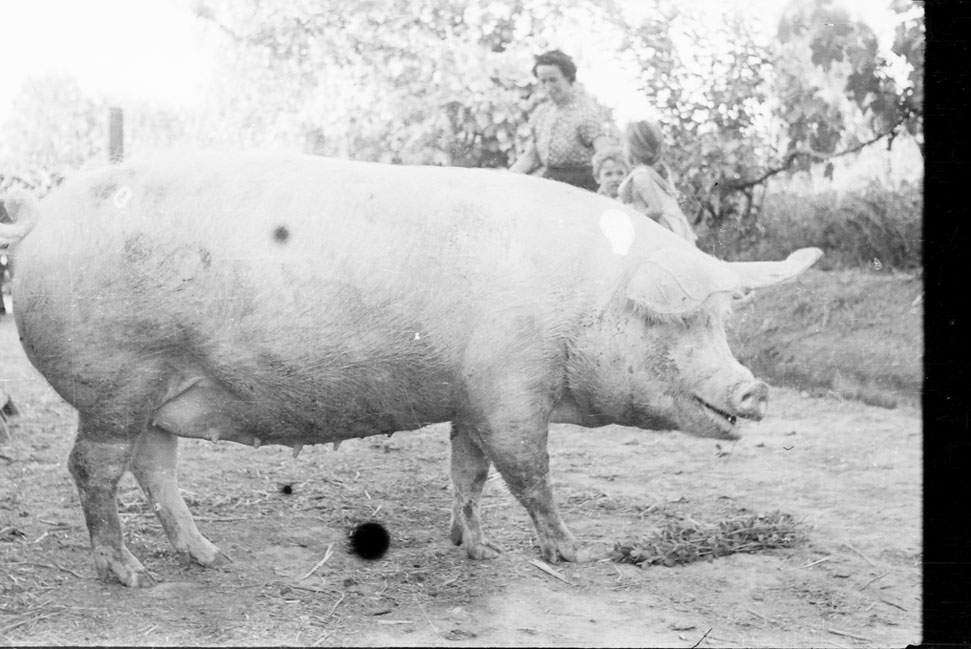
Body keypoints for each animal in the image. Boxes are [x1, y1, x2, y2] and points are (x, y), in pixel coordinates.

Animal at [0, 153, 820, 588]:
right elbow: (530, 472)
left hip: (156, 393)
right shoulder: (512, 389)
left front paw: (473, 546)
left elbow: (469, 472)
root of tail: (41, 217)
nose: (753, 387)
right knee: (91, 470)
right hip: (115, 384)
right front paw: (571, 552)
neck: (579, 302)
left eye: (719, 321)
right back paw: (126, 573)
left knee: (154, 471)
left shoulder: (472, 396)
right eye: (674, 320)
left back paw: (206, 556)